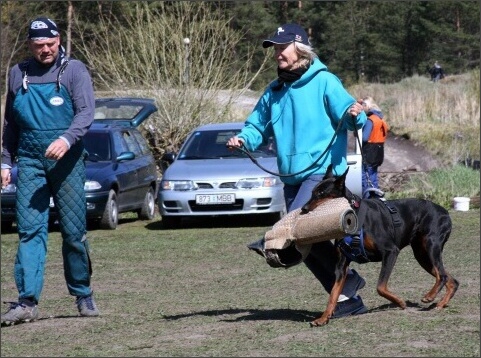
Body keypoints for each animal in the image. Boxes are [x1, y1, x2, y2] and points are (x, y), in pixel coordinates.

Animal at [300, 165, 458, 328]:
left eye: (321, 193)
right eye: (312, 192)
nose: (303, 209)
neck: (353, 214)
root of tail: (445, 211)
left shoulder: (390, 251)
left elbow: (380, 287)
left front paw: (399, 302)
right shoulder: (341, 265)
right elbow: (333, 293)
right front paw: (323, 318)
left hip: (431, 244)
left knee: (442, 275)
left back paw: (430, 296)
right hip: (422, 255)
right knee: (451, 280)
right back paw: (440, 303)